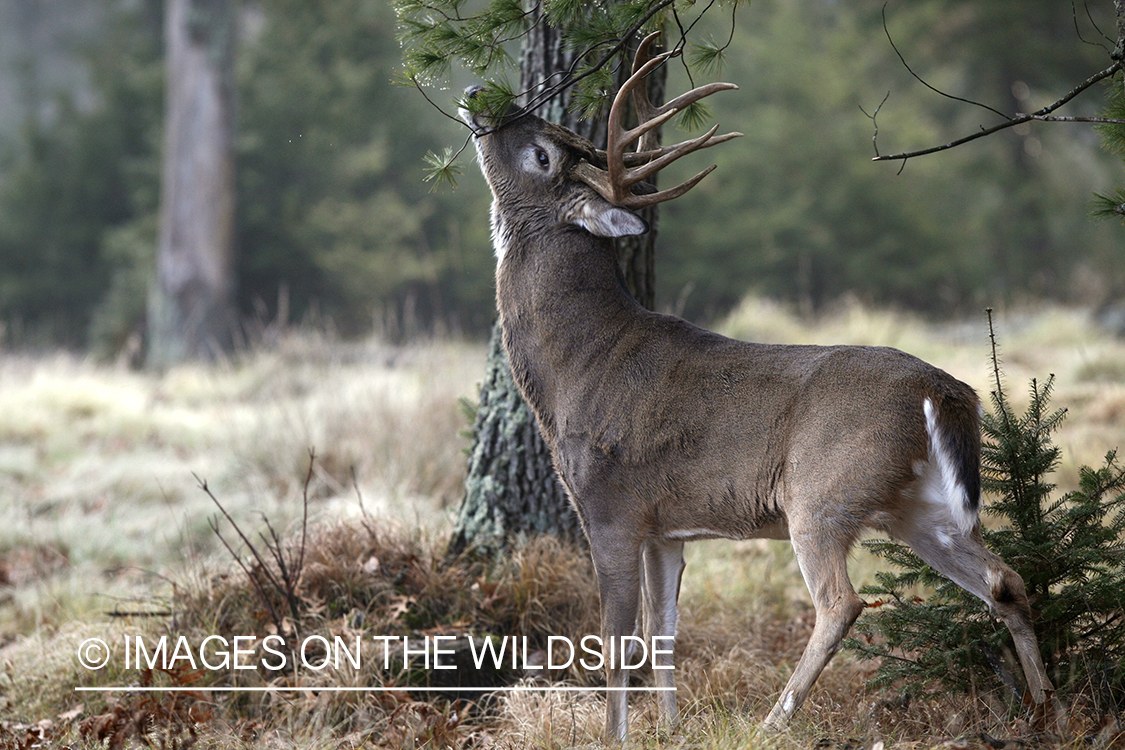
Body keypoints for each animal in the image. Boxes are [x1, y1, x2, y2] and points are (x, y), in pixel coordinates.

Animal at [454, 33, 1053, 737]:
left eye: (541, 153)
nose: (477, 94)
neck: (576, 367)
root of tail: (948, 392)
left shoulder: (610, 506)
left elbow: (618, 641)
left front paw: (615, 737)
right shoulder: (665, 527)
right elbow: (663, 634)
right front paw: (672, 730)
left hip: (823, 492)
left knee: (842, 602)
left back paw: (773, 721)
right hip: (918, 506)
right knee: (1004, 579)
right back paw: (1050, 709)